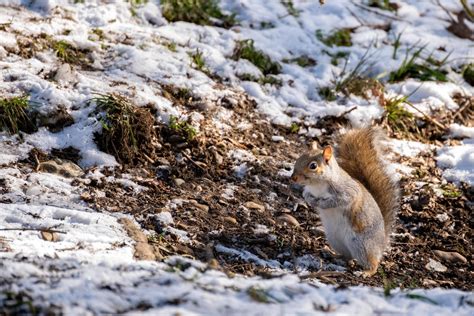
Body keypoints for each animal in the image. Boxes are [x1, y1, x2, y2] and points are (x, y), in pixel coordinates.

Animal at [292, 126, 400, 276]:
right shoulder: (308, 190)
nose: (293, 178)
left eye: (313, 166)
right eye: (298, 158)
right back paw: (334, 256)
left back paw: (366, 272)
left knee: (372, 263)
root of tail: (382, 243)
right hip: (335, 240)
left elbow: (339, 200)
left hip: (362, 245)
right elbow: (306, 194)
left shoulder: (347, 191)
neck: (317, 186)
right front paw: (310, 201)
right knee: (347, 256)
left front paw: (321, 204)